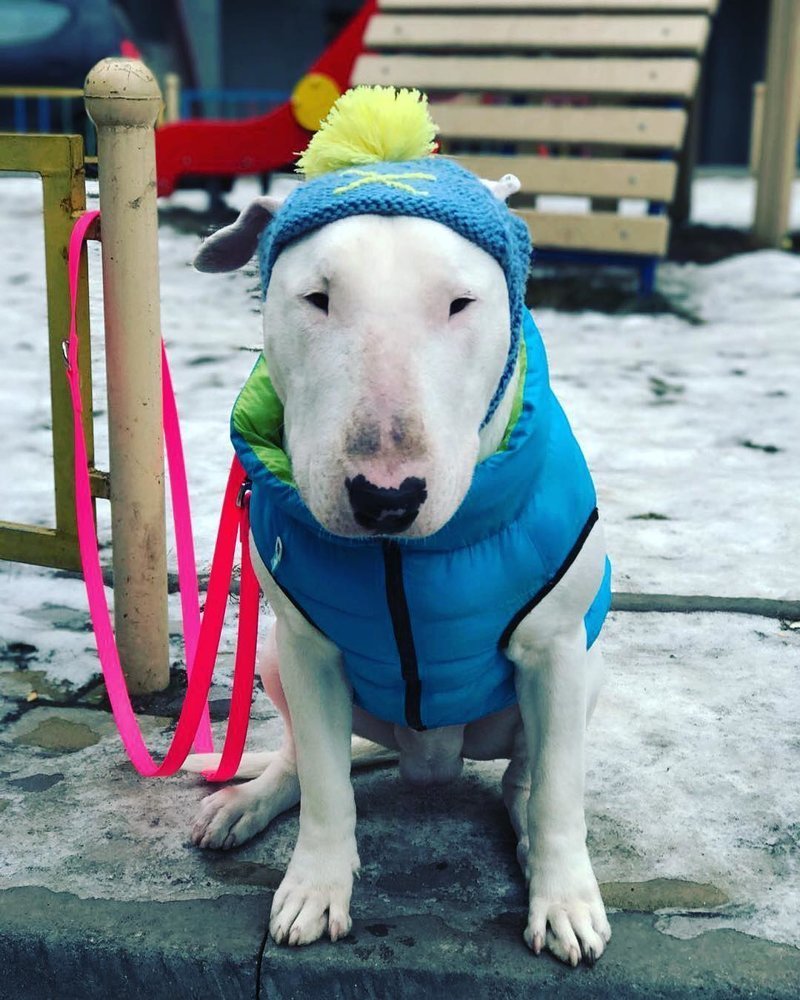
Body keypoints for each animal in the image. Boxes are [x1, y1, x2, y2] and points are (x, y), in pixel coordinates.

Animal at [188, 92, 612, 968]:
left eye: (461, 302)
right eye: (316, 298)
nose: (386, 498)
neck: (400, 557)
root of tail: (428, 762)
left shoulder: (557, 646)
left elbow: (559, 790)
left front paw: (563, 900)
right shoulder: (310, 650)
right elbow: (325, 785)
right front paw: (316, 888)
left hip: (586, 674)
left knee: (531, 778)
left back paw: (527, 832)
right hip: (275, 657)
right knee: (305, 761)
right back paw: (246, 803)